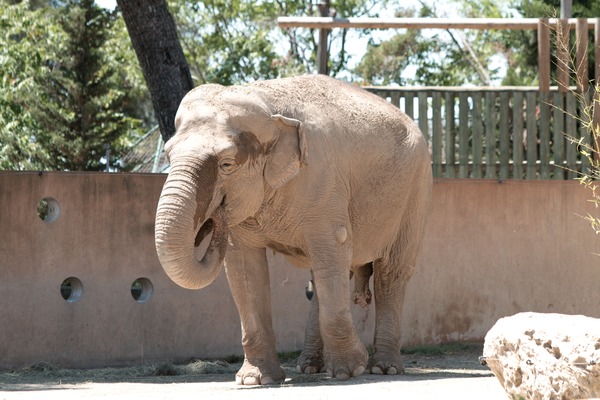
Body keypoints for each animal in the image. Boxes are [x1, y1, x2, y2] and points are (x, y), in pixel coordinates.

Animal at [155, 74, 432, 384]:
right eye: (168, 156)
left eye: (226, 164)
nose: (214, 218)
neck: (267, 104)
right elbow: (243, 267)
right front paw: (255, 380)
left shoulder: (323, 183)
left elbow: (334, 246)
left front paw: (349, 371)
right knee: (326, 274)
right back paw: (310, 367)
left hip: (416, 190)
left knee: (390, 272)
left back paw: (384, 368)